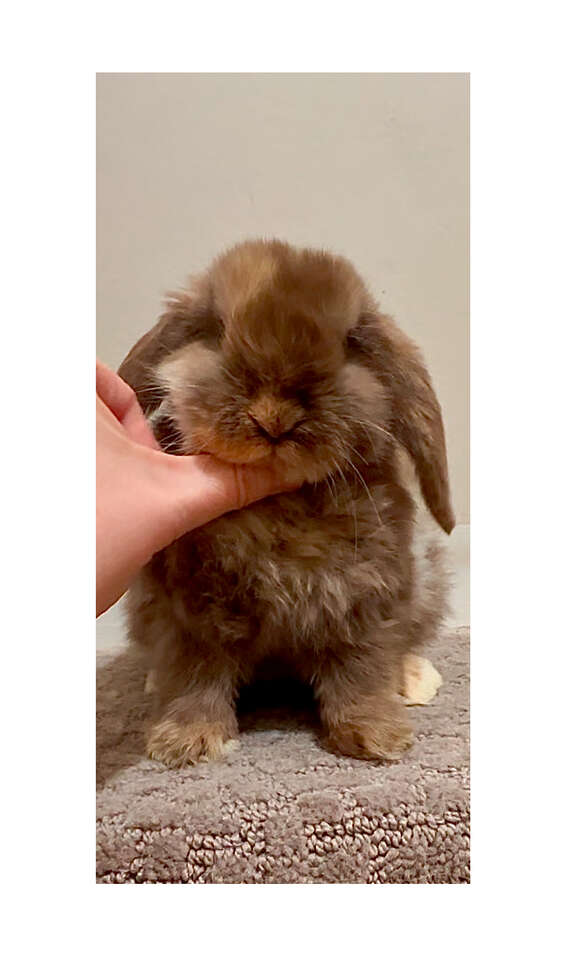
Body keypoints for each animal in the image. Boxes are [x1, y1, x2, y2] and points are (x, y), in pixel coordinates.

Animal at [117, 238, 450, 764]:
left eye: (351, 342)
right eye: (215, 330)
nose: (274, 417)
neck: (284, 507)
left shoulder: (364, 604)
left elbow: (361, 670)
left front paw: (375, 737)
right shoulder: (187, 612)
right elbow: (194, 675)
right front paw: (185, 743)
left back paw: (414, 680)